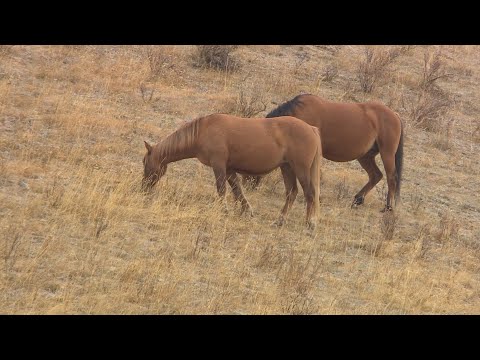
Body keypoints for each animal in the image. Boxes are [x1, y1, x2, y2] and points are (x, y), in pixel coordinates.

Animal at [142, 114, 322, 229]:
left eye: (145, 162)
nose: (143, 188)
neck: (203, 131)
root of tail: (311, 128)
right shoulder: (229, 170)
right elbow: (237, 190)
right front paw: (246, 211)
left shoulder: (219, 166)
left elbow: (222, 189)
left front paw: (225, 210)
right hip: (287, 168)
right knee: (292, 192)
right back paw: (280, 221)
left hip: (300, 168)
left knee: (310, 193)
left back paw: (310, 223)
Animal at [244, 93, 404, 211]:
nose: (248, 184)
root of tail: (395, 115)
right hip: (365, 156)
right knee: (376, 175)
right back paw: (357, 200)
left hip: (387, 153)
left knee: (392, 177)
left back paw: (388, 207)